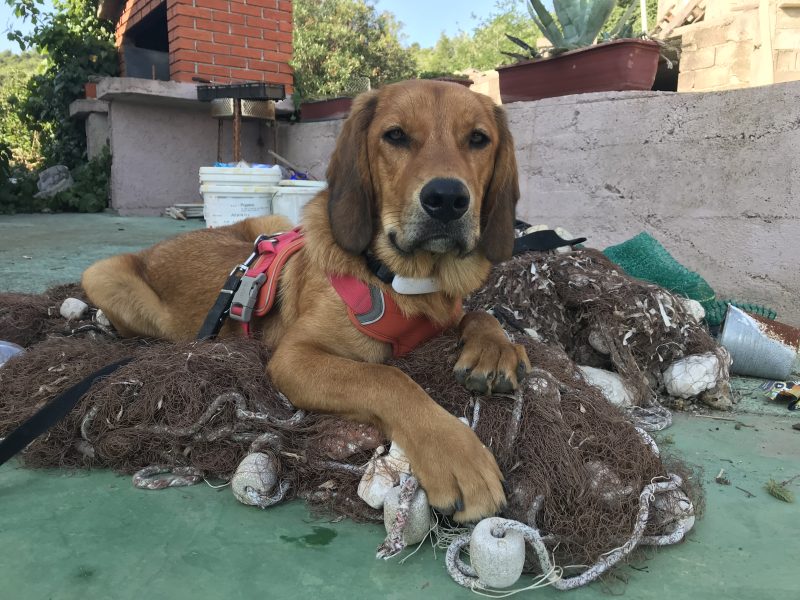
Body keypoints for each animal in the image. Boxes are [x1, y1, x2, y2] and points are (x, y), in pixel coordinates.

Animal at [83, 79, 532, 520]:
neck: (408, 281)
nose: (447, 199)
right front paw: (455, 453)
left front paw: (494, 350)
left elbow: (481, 314)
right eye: (395, 135)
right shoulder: (294, 357)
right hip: (103, 276)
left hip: (271, 222)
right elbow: (387, 378)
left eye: (478, 139)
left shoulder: (445, 313)